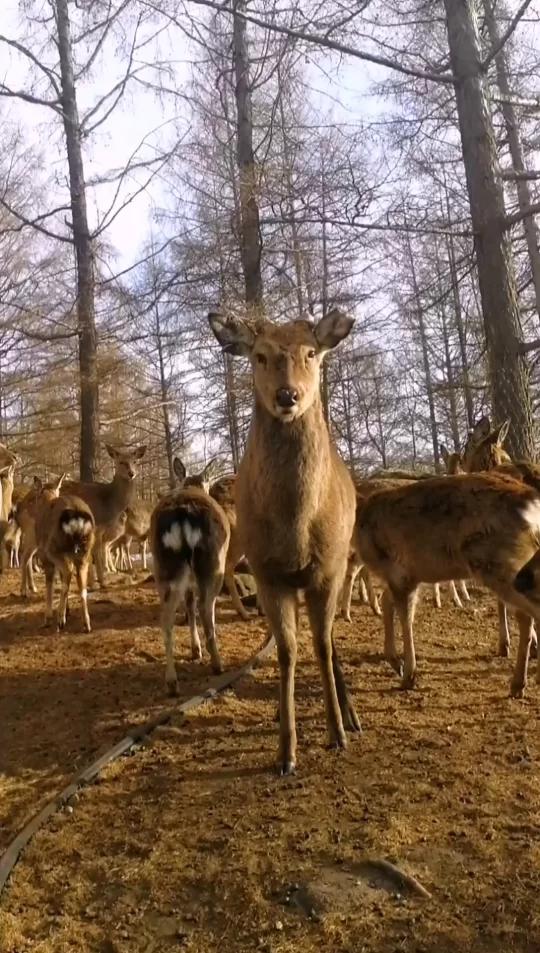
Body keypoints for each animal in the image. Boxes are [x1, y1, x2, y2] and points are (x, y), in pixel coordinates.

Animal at [32, 470, 96, 632]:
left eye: (36, 495)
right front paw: (68, 611)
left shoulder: (45, 556)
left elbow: (50, 584)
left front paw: (48, 618)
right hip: (84, 552)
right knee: (81, 585)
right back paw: (86, 624)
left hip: (56, 548)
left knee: (68, 572)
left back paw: (60, 620)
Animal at [62, 446, 146, 588]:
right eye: (121, 462)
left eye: (135, 461)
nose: (131, 473)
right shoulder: (95, 524)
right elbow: (95, 553)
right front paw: (99, 581)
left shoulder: (100, 528)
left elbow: (98, 551)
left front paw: (98, 580)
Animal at [150, 456, 230, 692]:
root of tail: (182, 515)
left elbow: (188, 605)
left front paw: (195, 650)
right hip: (213, 563)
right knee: (205, 607)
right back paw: (217, 665)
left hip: (164, 568)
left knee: (167, 617)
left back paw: (171, 682)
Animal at [209, 306, 360, 772]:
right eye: (259, 355)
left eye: (310, 352)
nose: (287, 395)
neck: (296, 531)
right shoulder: (267, 572)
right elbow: (286, 651)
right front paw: (286, 751)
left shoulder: (328, 570)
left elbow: (323, 646)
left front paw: (337, 732)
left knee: (329, 640)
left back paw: (351, 714)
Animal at [356, 472, 540, 696]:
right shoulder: (405, 576)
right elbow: (387, 602)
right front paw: (395, 663)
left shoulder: (399, 572)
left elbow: (405, 618)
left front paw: (409, 675)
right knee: (527, 615)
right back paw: (519, 682)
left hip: (498, 562)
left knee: (529, 614)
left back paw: (518, 682)